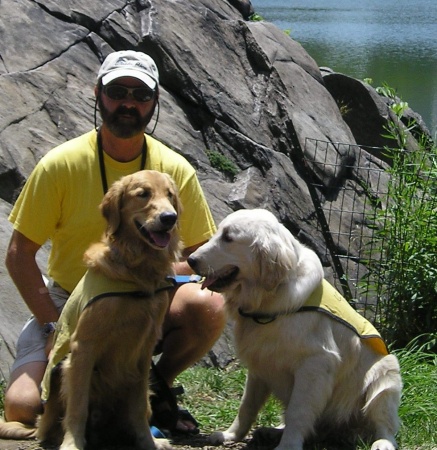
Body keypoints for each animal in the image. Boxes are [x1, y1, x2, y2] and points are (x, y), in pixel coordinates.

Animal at [187, 210, 402, 450]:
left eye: (228, 238)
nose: (190, 260)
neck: (268, 300)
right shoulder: (259, 363)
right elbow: (247, 406)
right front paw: (230, 435)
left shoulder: (314, 365)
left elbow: (297, 413)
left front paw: (288, 445)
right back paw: (272, 431)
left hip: (385, 374)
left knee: (385, 426)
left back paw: (382, 442)